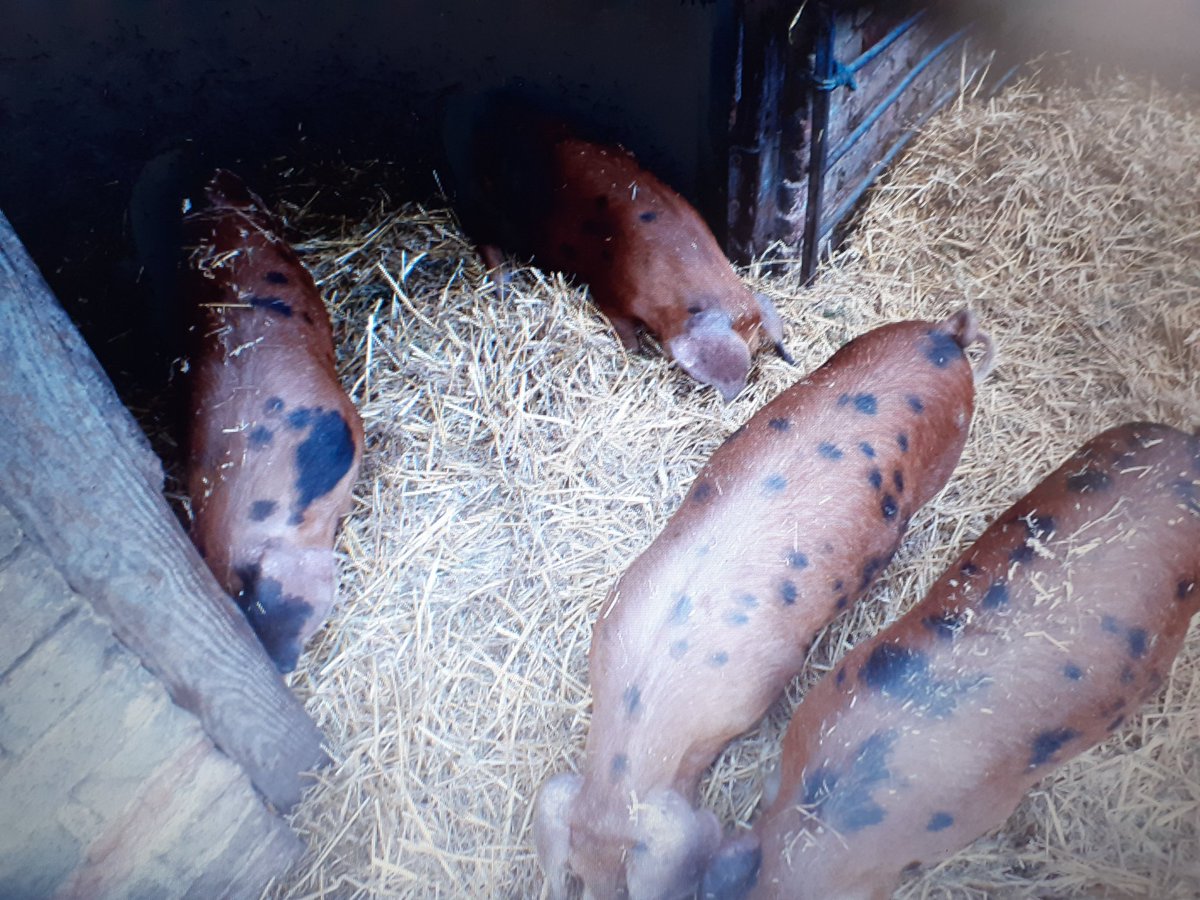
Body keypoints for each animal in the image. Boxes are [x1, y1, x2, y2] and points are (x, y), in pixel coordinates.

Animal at [447, 94, 789, 401]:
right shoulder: (610, 293)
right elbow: (624, 331)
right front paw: (637, 355)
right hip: (481, 204)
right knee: (484, 239)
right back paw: (503, 288)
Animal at [534, 309, 995, 899]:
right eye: (578, 876)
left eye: (625, 887)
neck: (647, 696)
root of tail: (945, 334)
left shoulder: (767, 679)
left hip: (948, 447)